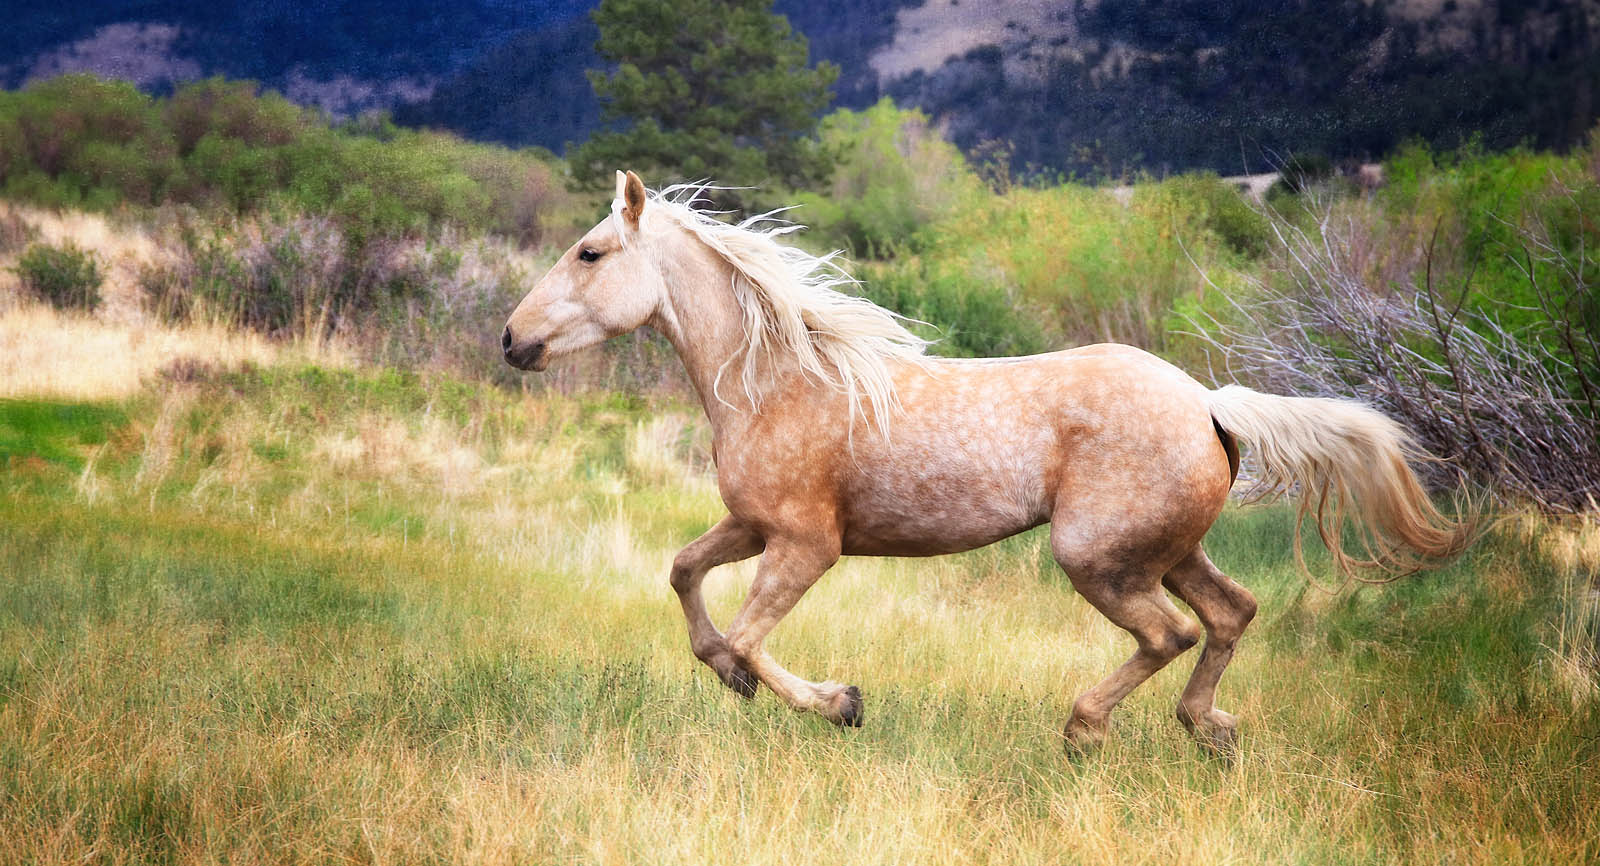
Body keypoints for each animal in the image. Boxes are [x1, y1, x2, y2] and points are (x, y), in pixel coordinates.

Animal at [501, 170, 1472, 754]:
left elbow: (746, 636)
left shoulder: (807, 545)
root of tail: (1208, 400)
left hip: (1095, 556)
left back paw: (1085, 731)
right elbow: (684, 576)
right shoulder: (751, 525)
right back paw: (1210, 731)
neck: (778, 382)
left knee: (1172, 634)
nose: (512, 341)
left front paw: (841, 702)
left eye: (590, 252)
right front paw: (738, 679)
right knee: (1230, 614)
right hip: (1167, 549)